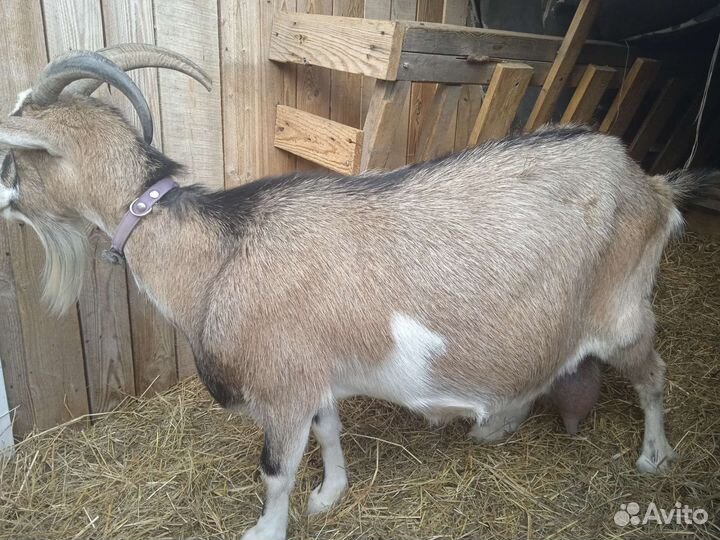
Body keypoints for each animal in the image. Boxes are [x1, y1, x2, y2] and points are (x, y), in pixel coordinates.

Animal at [1, 45, 710, 540]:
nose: (0, 200)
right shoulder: (314, 370)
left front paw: (267, 528)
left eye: (13, 154)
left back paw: (654, 457)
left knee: (653, 374)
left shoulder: (282, 385)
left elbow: (276, 469)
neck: (221, 253)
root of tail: (651, 186)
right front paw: (329, 496)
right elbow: (330, 429)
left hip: (623, 312)